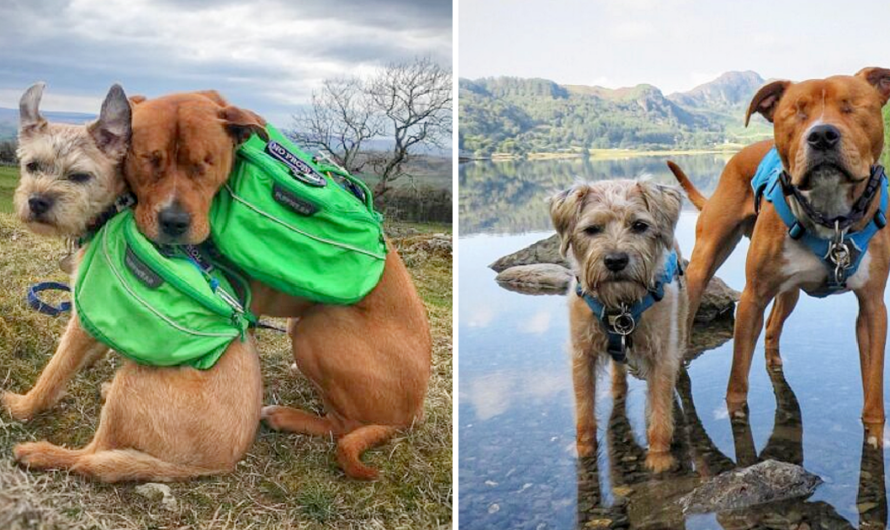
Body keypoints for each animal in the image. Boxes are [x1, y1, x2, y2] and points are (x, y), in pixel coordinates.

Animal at [6, 83, 260, 482]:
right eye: (32, 166)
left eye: (80, 176)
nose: (37, 201)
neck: (114, 209)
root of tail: (213, 465)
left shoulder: (82, 319)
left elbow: (54, 372)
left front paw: (23, 406)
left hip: (134, 382)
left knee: (93, 459)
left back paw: (41, 453)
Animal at [123, 88, 432, 476]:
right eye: (149, 160)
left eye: (205, 163)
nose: (174, 222)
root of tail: (411, 415)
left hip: (318, 327)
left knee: (344, 425)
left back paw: (285, 416)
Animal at [548, 179, 688, 468]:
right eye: (592, 229)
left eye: (639, 225)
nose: (615, 260)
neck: (620, 304)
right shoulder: (582, 354)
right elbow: (584, 408)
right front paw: (584, 449)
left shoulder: (662, 355)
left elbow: (660, 407)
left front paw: (659, 458)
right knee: (618, 370)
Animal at [664, 68, 888, 440]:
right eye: (796, 112)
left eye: (852, 106)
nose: (822, 136)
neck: (832, 219)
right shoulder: (752, 298)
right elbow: (737, 379)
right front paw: (736, 416)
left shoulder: (872, 307)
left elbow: (873, 385)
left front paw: (874, 432)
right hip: (705, 261)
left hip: (789, 291)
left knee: (773, 327)